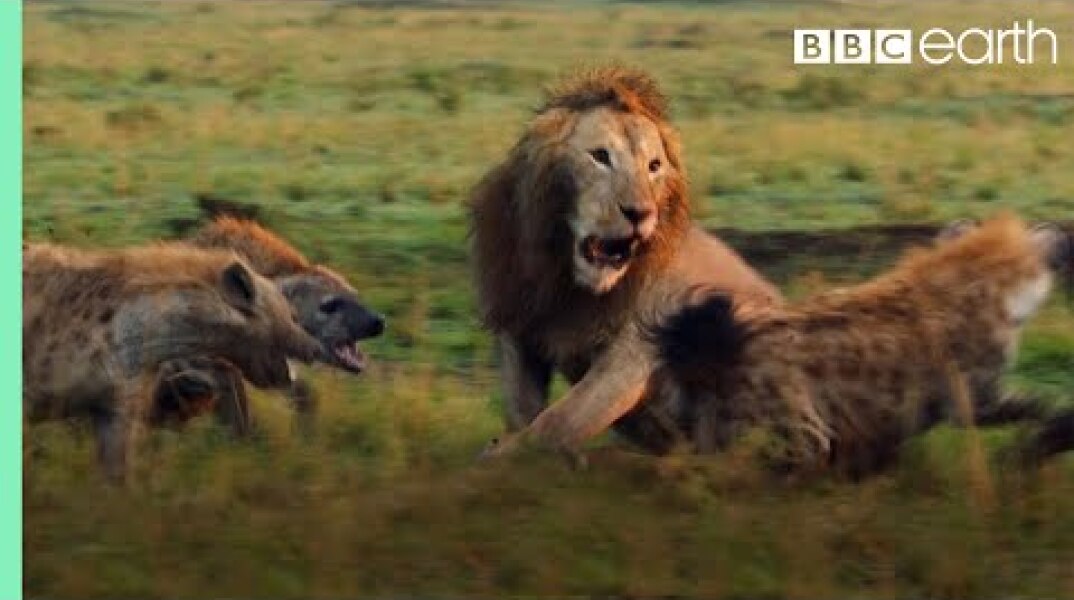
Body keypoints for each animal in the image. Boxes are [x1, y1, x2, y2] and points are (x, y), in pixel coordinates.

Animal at [470, 66, 782, 456]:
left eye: (653, 166)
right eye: (600, 156)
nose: (640, 213)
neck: (566, 278)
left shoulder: (635, 349)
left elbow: (558, 420)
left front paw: (502, 456)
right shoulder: (518, 322)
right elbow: (522, 411)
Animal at [657, 214, 1072, 475]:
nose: (1062, 236)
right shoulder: (972, 395)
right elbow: (1035, 405)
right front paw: (1039, 444)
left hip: (706, 423)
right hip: (796, 425)